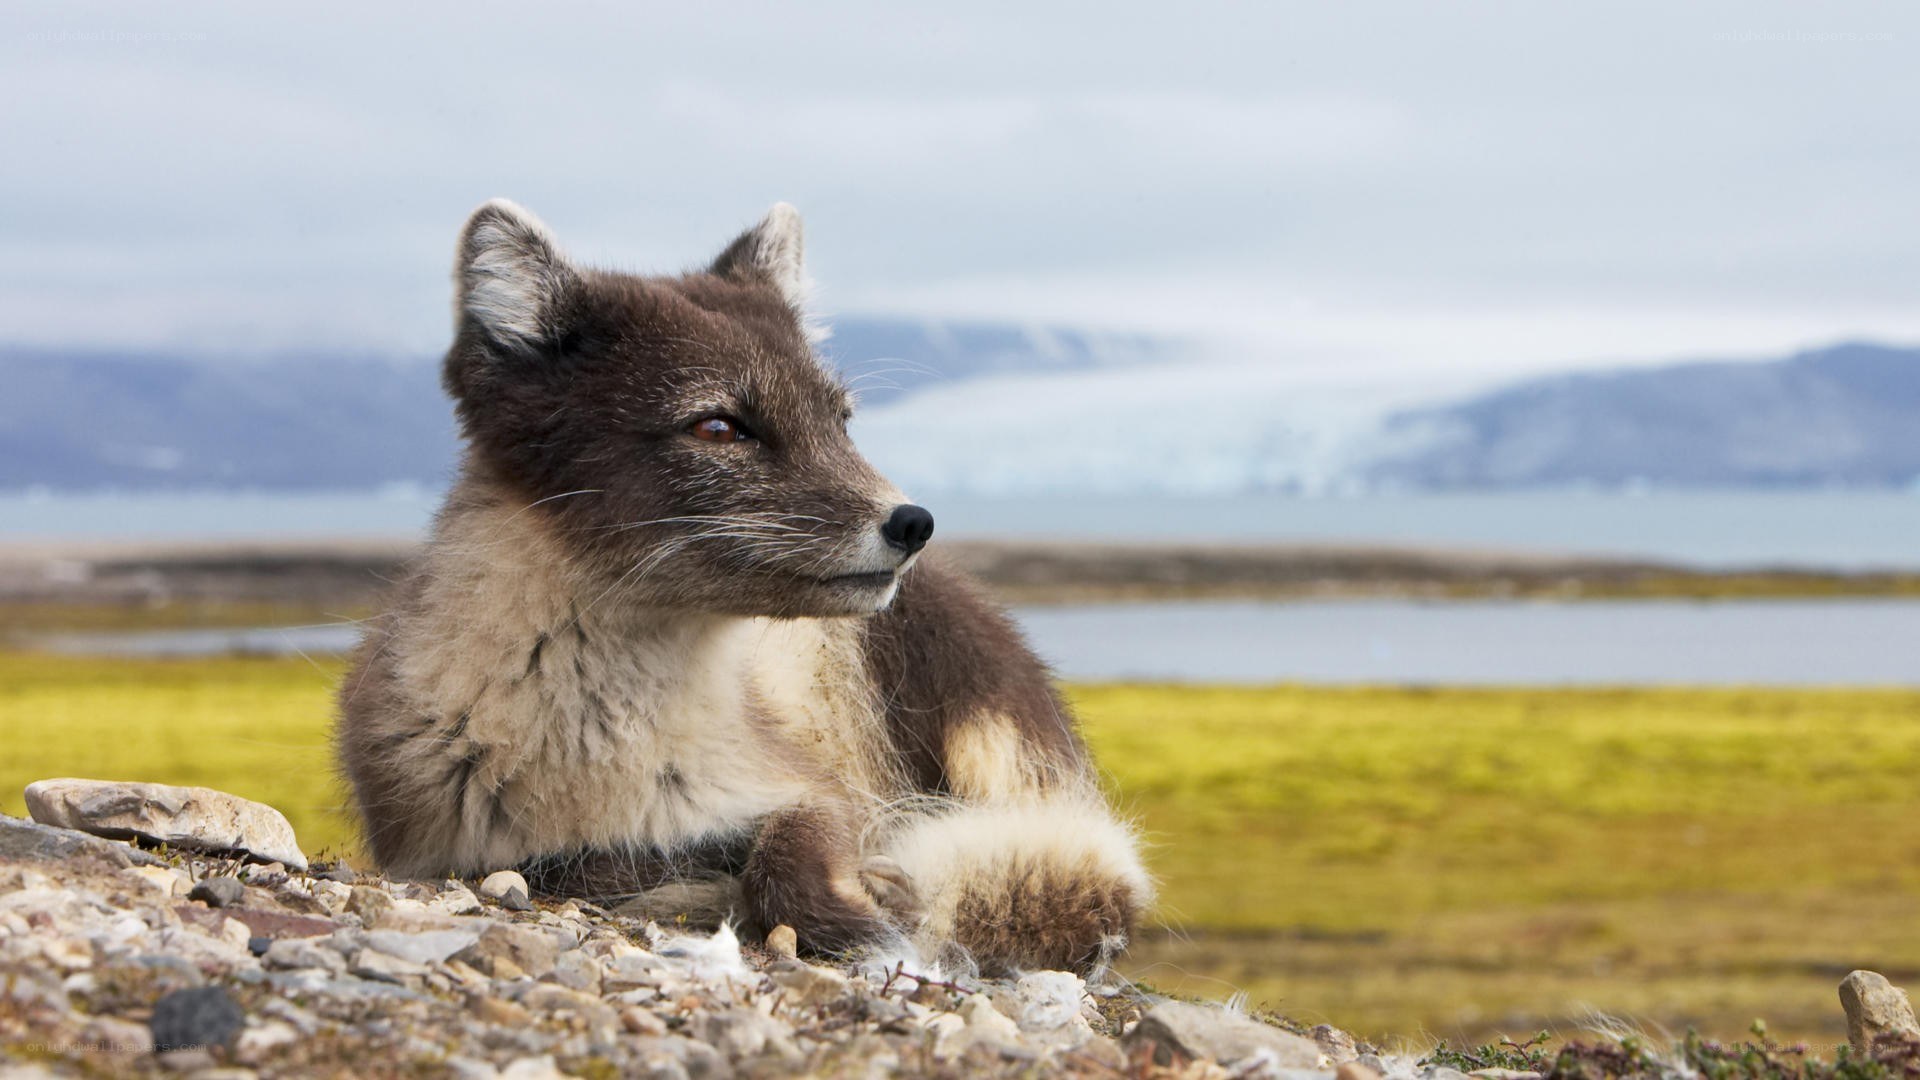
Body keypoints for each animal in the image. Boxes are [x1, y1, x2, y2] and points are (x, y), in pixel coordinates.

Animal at [335, 199, 1151, 973]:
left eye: (840, 421)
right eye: (719, 426)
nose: (913, 523)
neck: (603, 751)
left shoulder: (813, 789)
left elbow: (790, 855)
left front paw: (864, 907)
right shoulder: (452, 847)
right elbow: (576, 866)